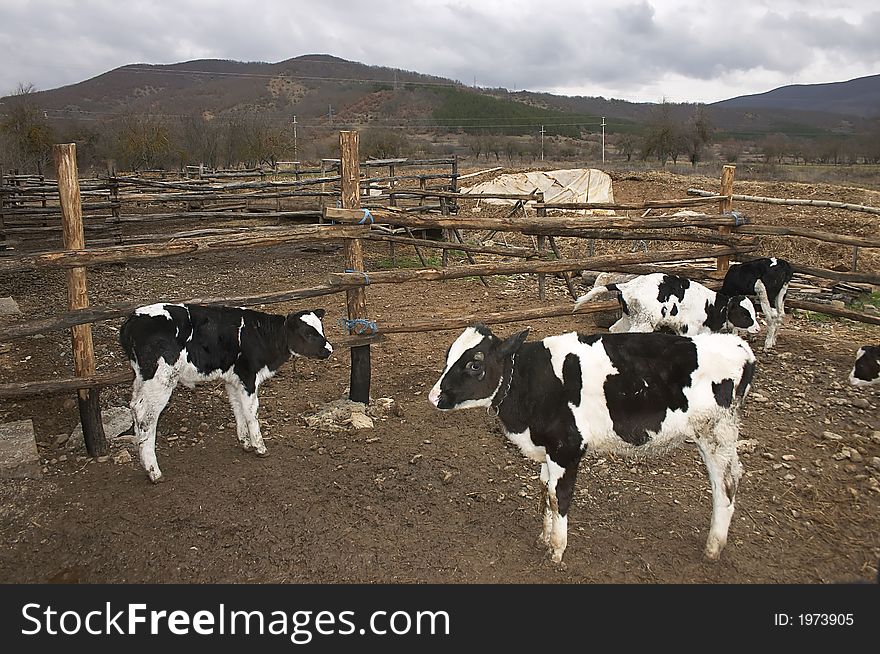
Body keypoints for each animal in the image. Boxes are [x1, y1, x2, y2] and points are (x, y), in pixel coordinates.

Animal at [118, 304, 332, 484]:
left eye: (321, 328)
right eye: (308, 333)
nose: (330, 349)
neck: (261, 335)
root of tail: (132, 320)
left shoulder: (233, 379)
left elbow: (238, 408)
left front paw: (245, 442)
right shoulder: (248, 376)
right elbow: (251, 411)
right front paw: (259, 446)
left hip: (142, 378)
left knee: (135, 407)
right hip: (161, 379)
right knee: (147, 418)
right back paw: (154, 472)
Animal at [428, 326, 756, 568]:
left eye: (474, 364)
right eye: (448, 356)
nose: (434, 396)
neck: (529, 381)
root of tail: (738, 346)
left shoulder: (567, 447)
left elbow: (559, 496)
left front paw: (557, 550)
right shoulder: (548, 451)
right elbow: (545, 490)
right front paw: (544, 537)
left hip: (716, 434)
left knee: (726, 484)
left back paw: (713, 547)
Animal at [576, 272, 760, 338]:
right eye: (745, 314)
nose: (758, 329)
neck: (712, 307)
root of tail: (627, 286)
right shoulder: (689, 328)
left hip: (629, 318)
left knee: (614, 329)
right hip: (644, 322)